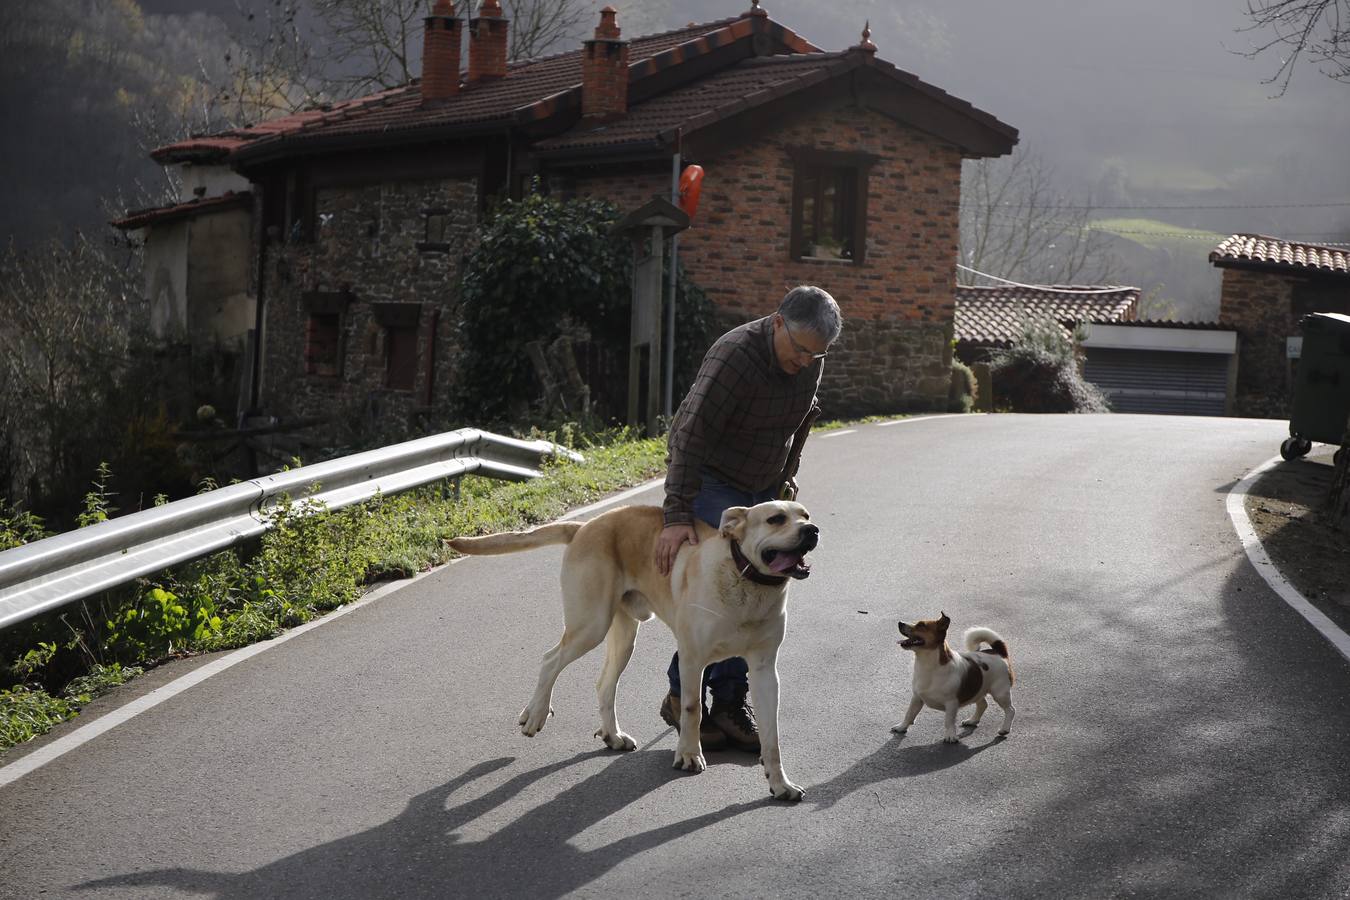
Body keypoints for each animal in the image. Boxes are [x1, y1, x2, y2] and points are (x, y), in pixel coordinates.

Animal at [885, 615, 1015, 744]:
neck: (928, 665)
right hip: (978, 689)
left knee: (1010, 710)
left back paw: (1004, 729)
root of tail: (999, 652)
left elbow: (949, 721)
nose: (900, 623)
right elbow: (909, 714)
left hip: (1000, 693)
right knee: (983, 704)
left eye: (921, 625)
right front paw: (901, 727)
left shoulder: (951, 703)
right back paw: (972, 720)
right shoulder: (916, 698)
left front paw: (950, 736)